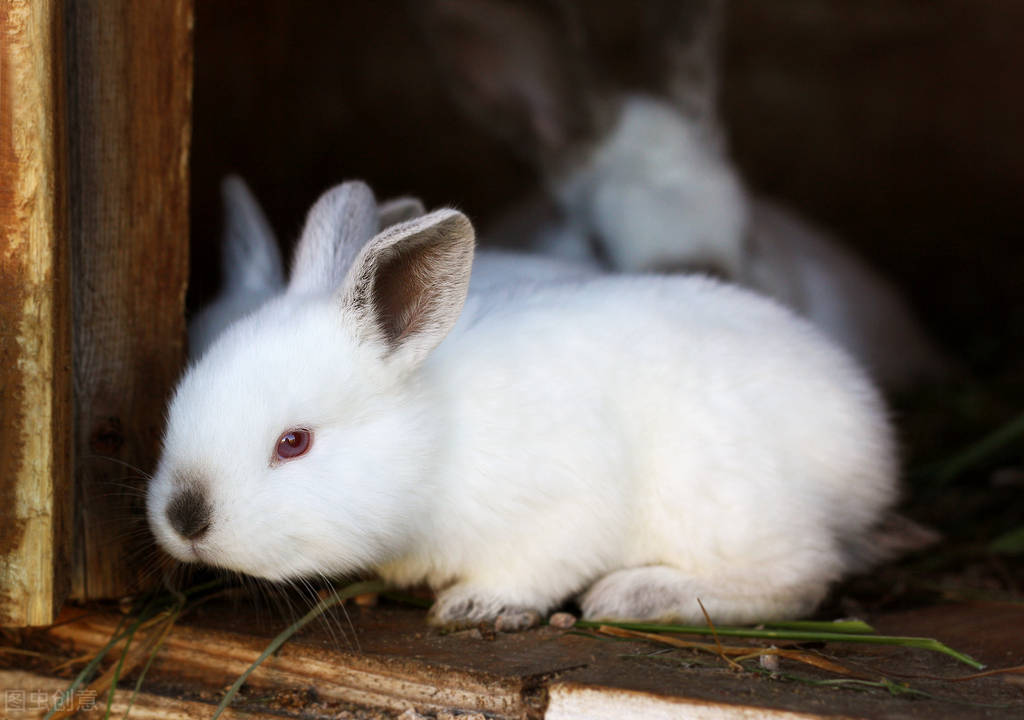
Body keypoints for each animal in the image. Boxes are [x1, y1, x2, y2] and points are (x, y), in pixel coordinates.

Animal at [149, 181, 897, 630]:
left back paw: (634, 594)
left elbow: (538, 566)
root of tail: (870, 446)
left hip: (728, 504)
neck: (436, 443)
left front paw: (474, 604)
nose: (183, 518)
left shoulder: (567, 507)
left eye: (294, 442)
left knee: (804, 576)